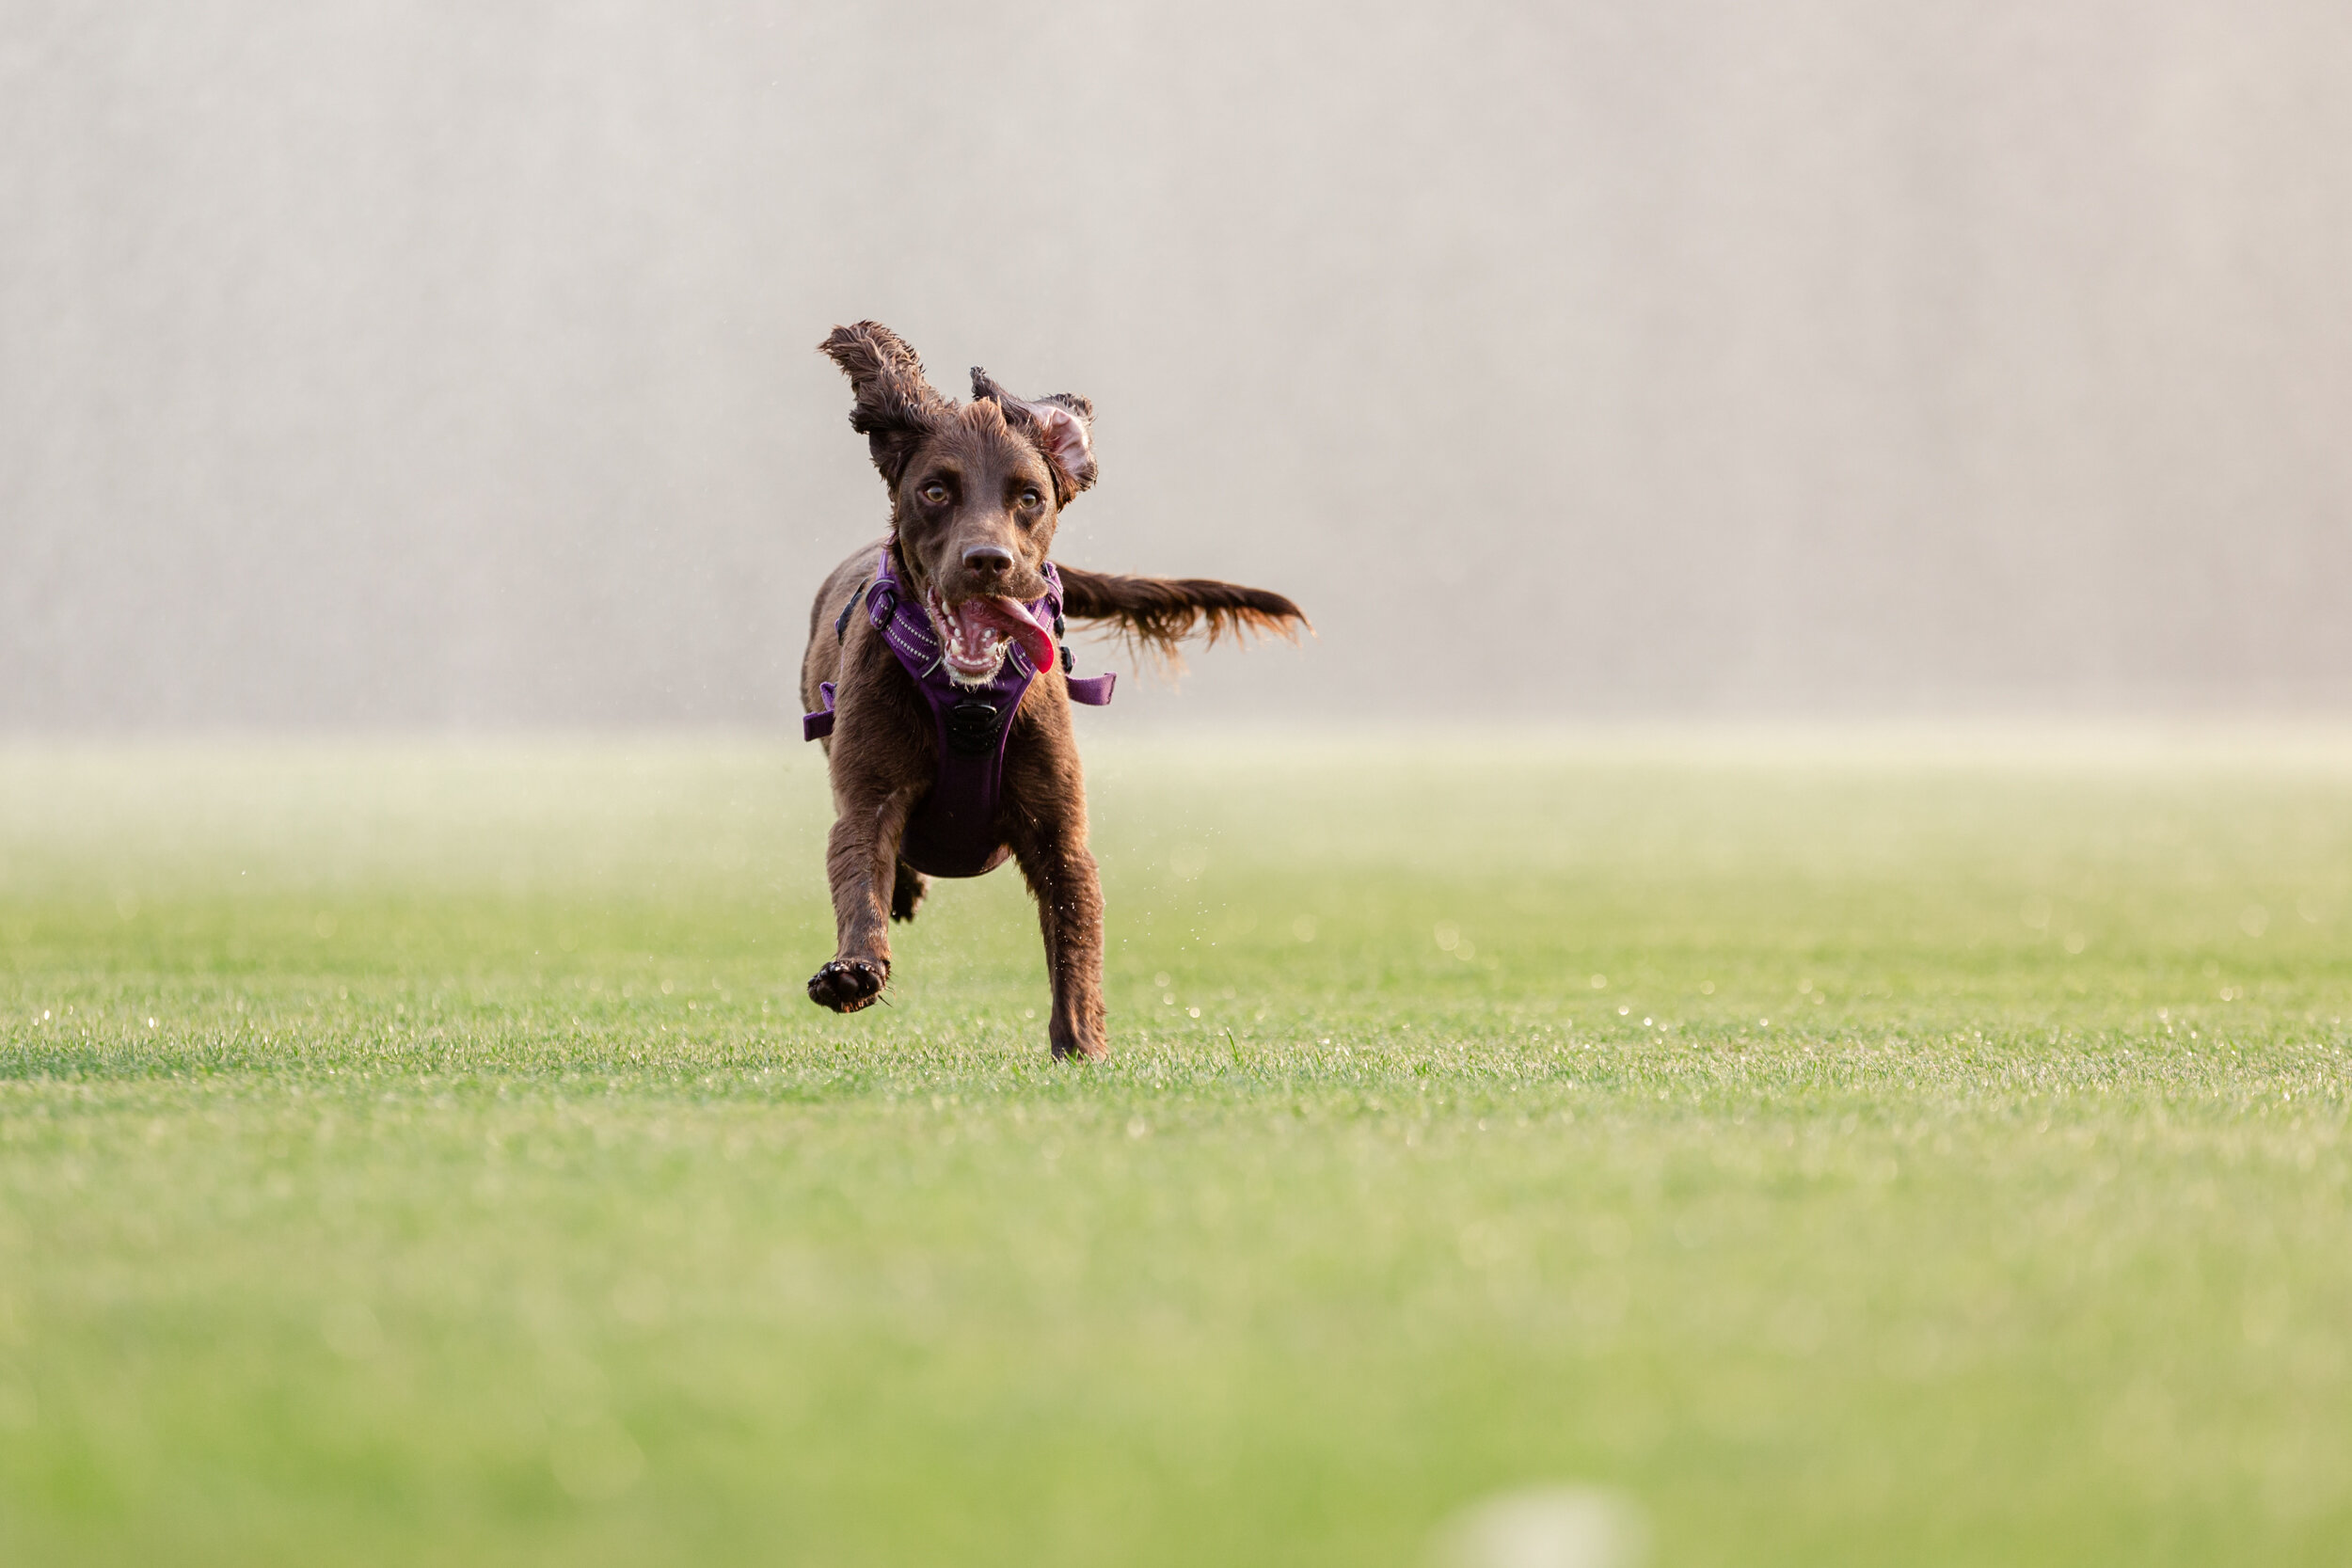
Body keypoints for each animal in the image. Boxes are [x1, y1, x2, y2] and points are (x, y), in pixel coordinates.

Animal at [800, 319, 1298, 1062]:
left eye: (1029, 497)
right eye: (936, 491)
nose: (988, 561)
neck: (968, 699)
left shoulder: (1062, 837)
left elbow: (1076, 947)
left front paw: (1081, 1045)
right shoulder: (869, 795)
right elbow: (861, 871)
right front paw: (854, 970)